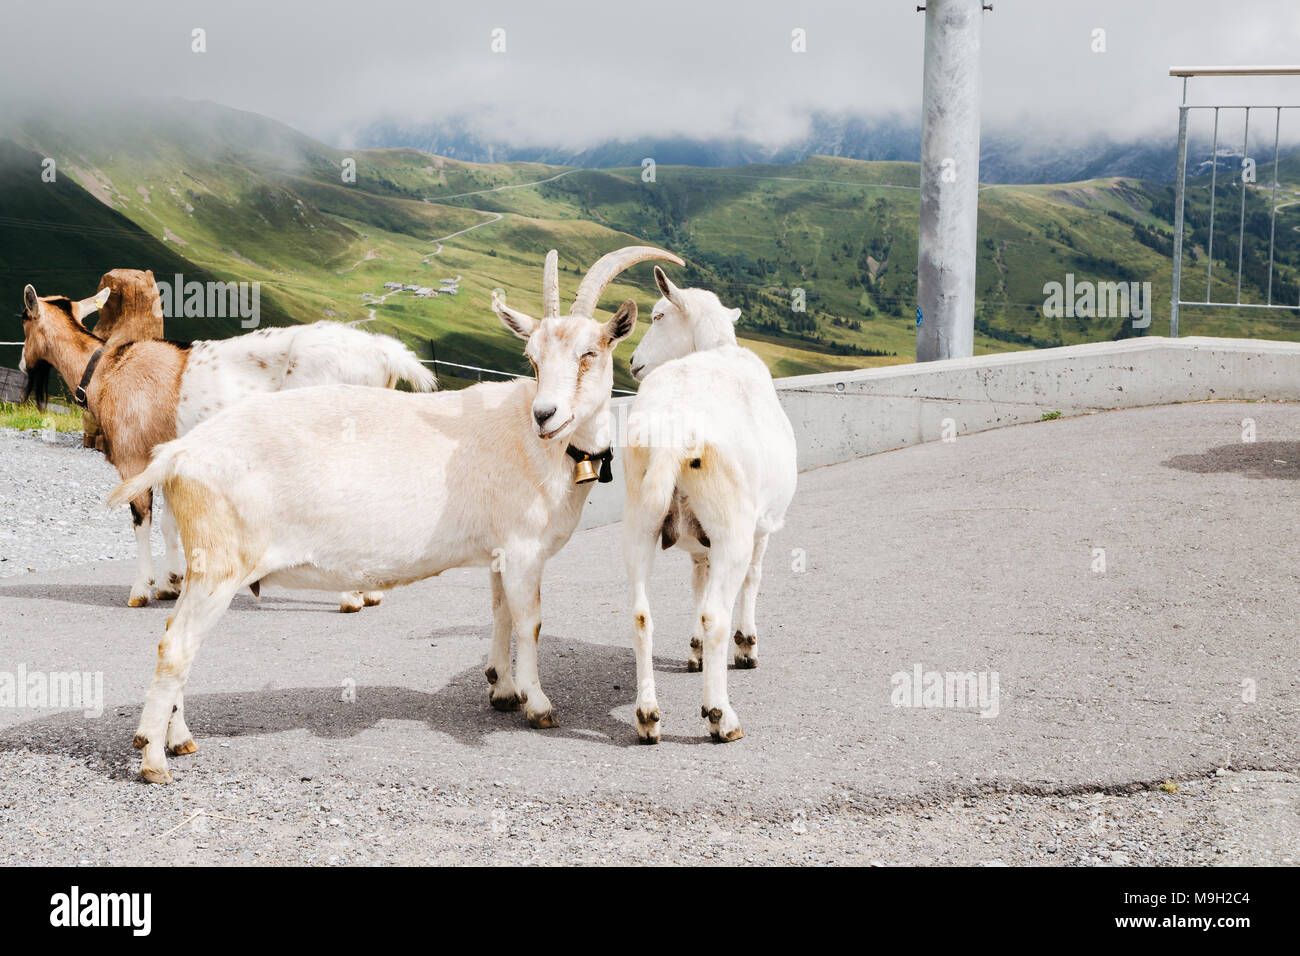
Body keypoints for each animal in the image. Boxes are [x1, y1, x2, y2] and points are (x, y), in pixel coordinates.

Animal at [18, 283, 436, 612]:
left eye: (23, 319)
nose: (22, 365)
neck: (108, 370)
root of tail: (384, 355)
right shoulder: (166, 455)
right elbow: (170, 522)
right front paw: (171, 583)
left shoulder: (132, 459)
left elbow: (142, 519)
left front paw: (141, 590)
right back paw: (371, 593)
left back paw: (350, 598)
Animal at [107, 245, 683, 782]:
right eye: (534, 359)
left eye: (590, 352)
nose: (547, 415)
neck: (536, 445)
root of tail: (177, 454)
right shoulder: (523, 549)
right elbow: (530, 622)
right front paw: (538, 705)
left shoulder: (500, 551)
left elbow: (499, 613)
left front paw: (501, 689)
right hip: (220, 564)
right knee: (176, 647)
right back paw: (154, 760)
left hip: (204, 563)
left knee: (174, 637)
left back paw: (178, 739)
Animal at [621, 267, 797, 743]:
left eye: (659, 315)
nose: (633, 363)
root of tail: (672, 433)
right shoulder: (761, 526)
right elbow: (752, 579)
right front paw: (747, 646)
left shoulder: (701, 544)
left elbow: (697, 587)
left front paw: (695, 653)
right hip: (731, 523)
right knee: (716, 615)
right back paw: (721, 716)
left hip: (641, 519)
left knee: (641, 615)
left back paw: (648, 716)